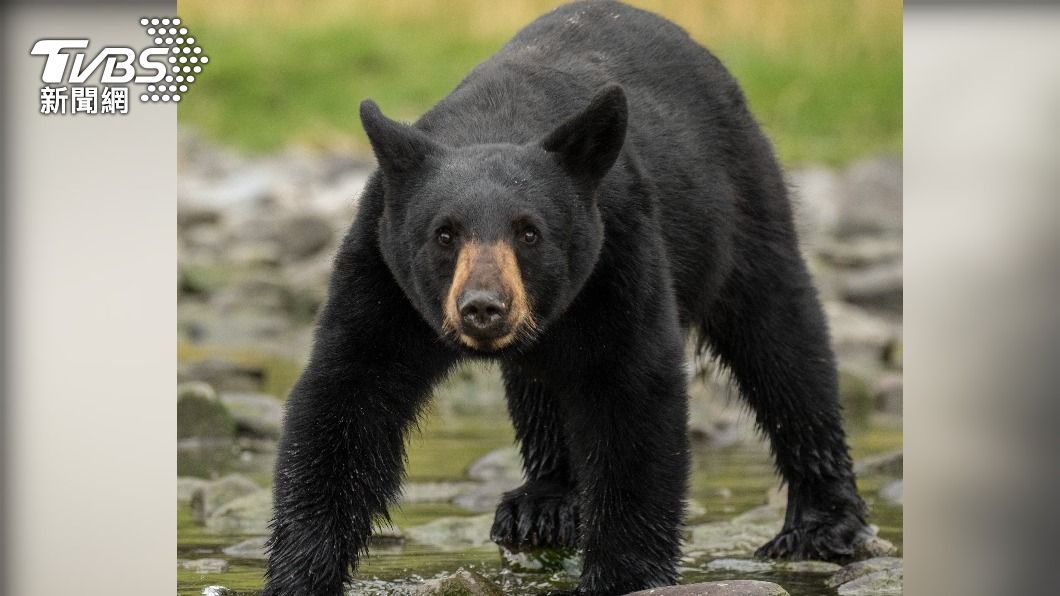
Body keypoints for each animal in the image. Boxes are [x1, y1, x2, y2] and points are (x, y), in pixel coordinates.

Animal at [263, 2, 870, 595]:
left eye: (529, 232)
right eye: (444, 233)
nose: (483, 307)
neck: (497, 120)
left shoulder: (617, 254)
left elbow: (632, 397)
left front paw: (626, 574)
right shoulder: (382, 272)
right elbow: (347, 396)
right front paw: (300, 571)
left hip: (742, 209)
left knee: (784, 345)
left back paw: (821, 526)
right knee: (539, 389)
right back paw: (543, 504)